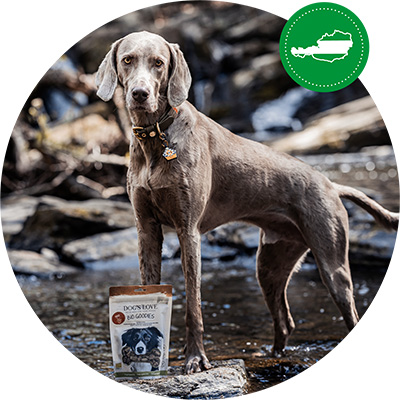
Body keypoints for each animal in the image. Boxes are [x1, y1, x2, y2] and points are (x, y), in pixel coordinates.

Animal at [96, 31, 396, 376]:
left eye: (158, 63)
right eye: (127, 60)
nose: (140, 94)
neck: (156, 136)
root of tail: (332, 184)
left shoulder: (189, 231)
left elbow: (193, 304)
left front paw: (195, 359)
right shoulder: (146, 229)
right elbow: (150, 285)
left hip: (333, 265)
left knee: (346, 311)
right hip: (269, 264)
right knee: (285, 320)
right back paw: (275, 355)